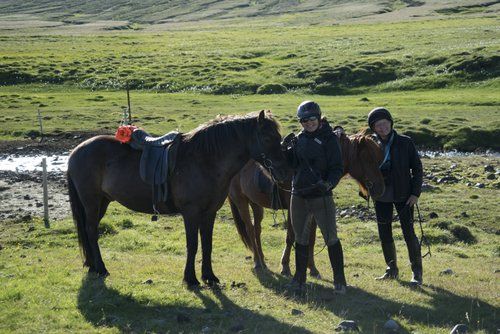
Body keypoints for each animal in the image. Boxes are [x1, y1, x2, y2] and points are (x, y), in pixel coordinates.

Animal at [67, 110, 288, 288]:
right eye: (267, 137)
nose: (283, 171)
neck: (204, 160)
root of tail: (76, 150)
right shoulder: (191, 213)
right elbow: (193, 245)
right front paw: (191, 279)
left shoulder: (209, 213)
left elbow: (207, 244)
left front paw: (209, 276)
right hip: (91, 202)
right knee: (91, 230)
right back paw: (101, 268)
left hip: (102, 202)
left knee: (88, 230)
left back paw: (92, 266)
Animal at [229, 130, 384, 276]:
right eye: (368, 159)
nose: (381, 189)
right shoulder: (293, 209)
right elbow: (290, 236)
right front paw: (285, 266)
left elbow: (312, 239)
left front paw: (312, 268)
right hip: (241, 202)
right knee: (250, 229)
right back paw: (257, 262)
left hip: (255, 204)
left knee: (257, 229)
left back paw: (262, 260)